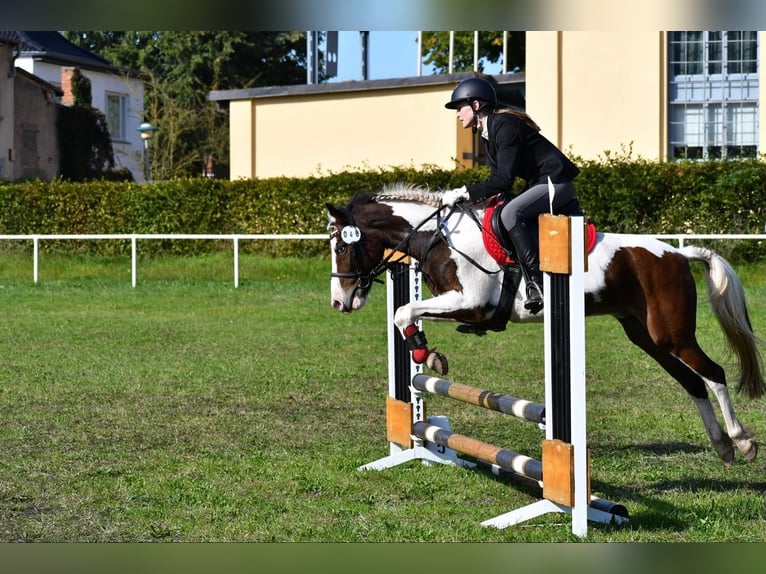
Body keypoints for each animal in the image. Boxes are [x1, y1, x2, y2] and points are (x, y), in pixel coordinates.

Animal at [326, 186, 766, 468]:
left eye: (343, 246)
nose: (339, 303)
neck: (440, 237)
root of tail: (676, 252)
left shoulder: (471, 304)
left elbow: (404, 312)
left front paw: (425, 354)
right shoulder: (456, 305)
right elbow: (408, 314)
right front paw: (429, 356)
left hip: (673, 334)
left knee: (713, 373)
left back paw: (742, 442)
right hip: (648, 337)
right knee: (691, 381)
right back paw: (722, 446)